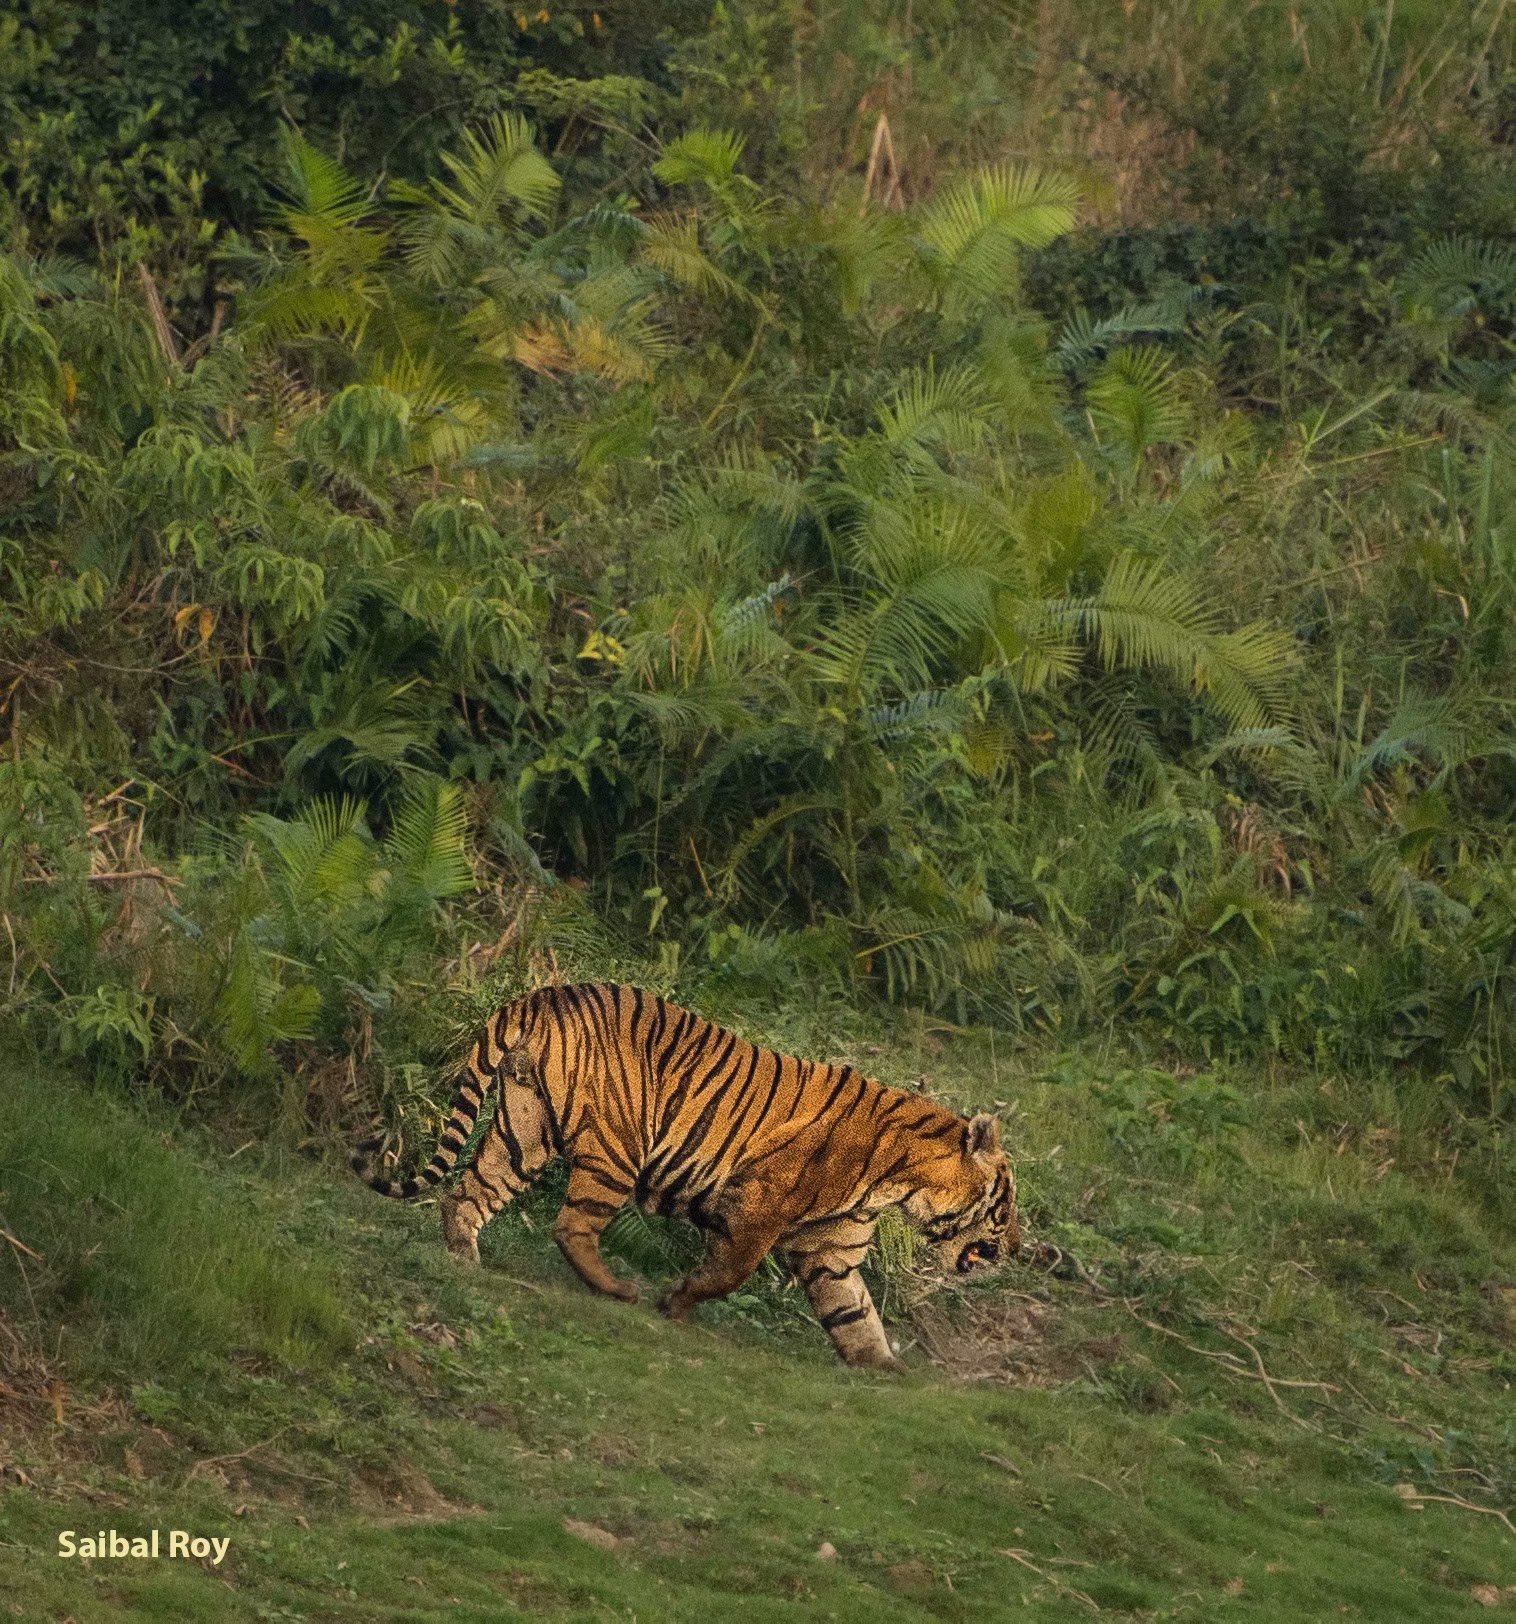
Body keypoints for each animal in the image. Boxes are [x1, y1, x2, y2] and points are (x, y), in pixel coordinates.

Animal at [354, 974, 1020, 1370]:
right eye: (1006, 1207)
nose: (1017, 1248)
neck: (902, 1181)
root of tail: (545, 992)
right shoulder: (758, 1208)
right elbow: (727, 1274)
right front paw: (674, 1303)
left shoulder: (832, 1251)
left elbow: (856, 1316)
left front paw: (886, 1371)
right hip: (616, 1147)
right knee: (571, 1226)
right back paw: (617, 1290)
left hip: (524, 1130)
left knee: (467, 1192)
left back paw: (463, 1258)